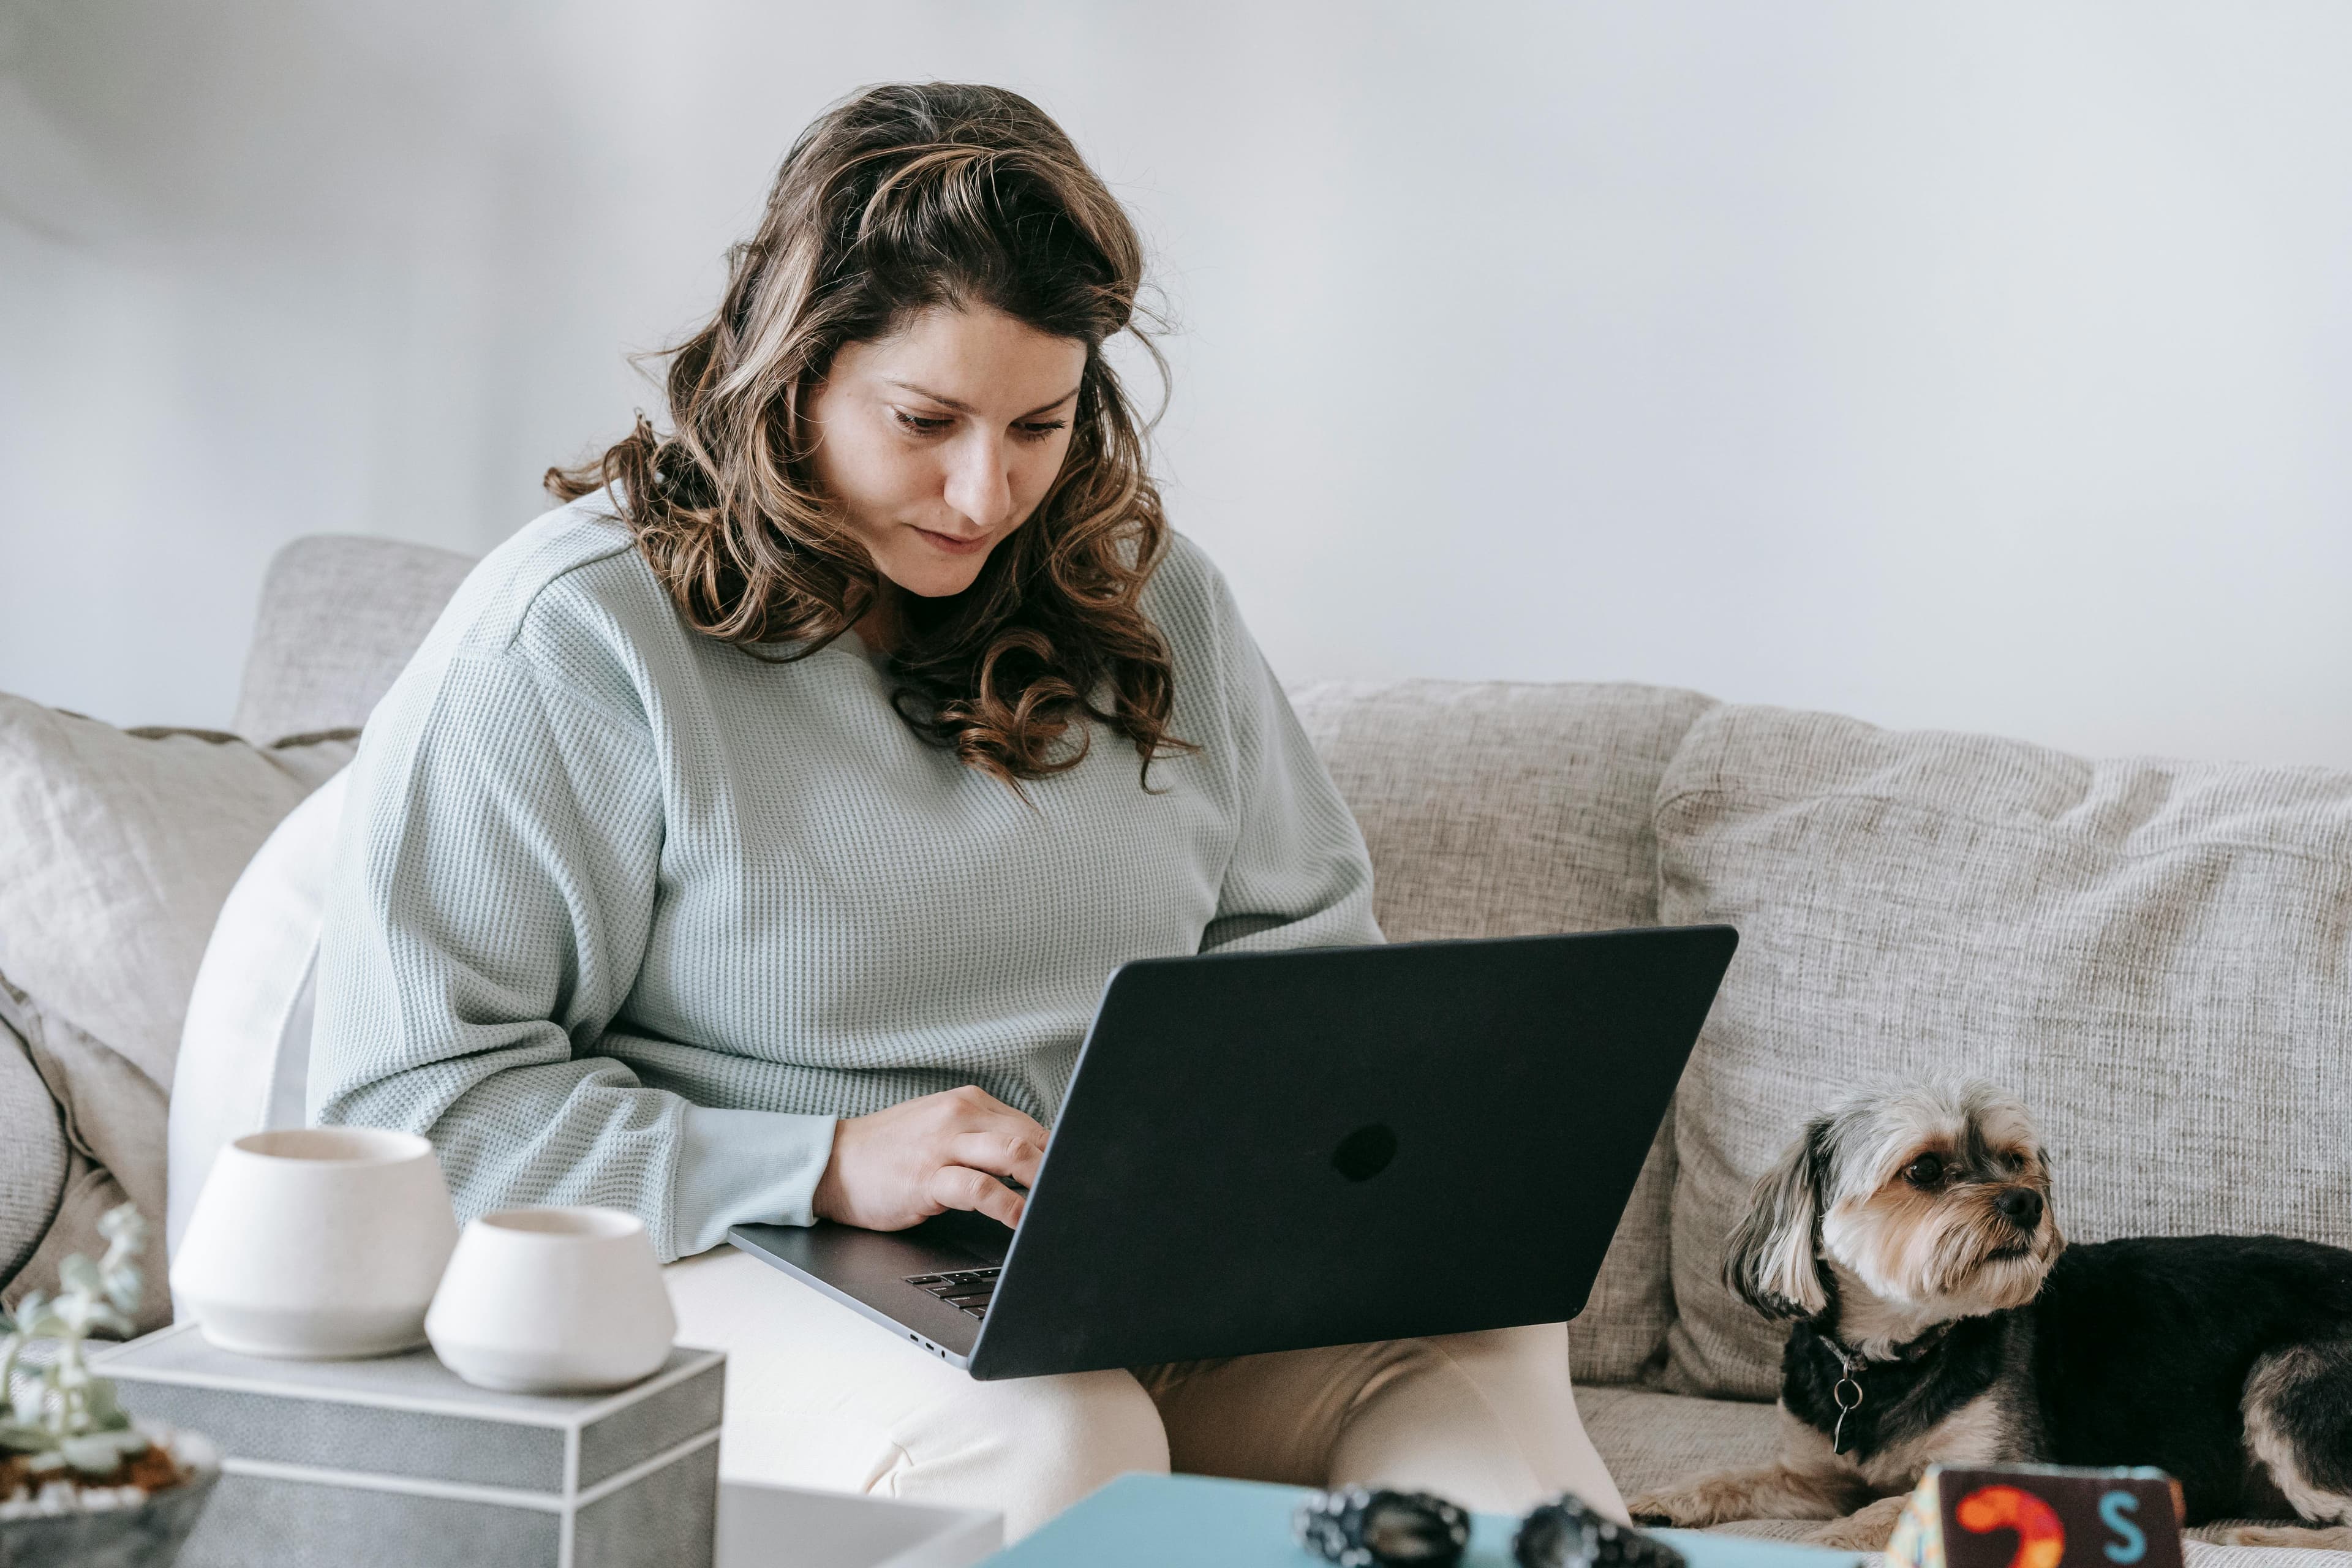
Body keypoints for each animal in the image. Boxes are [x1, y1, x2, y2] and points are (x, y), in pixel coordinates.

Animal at [1627, 1086, 2352, 1551]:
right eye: (1923, 1168)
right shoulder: (1818, 1475)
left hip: (2286, 1383)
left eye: (2015, 1160)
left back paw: (2260, 1534)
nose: (2028, 1201)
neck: (1893, 1354)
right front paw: (1661, 1500)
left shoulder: (2013, 1466)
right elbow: (1740, 1477)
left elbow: (1894, 1504)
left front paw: (1828, 1542)